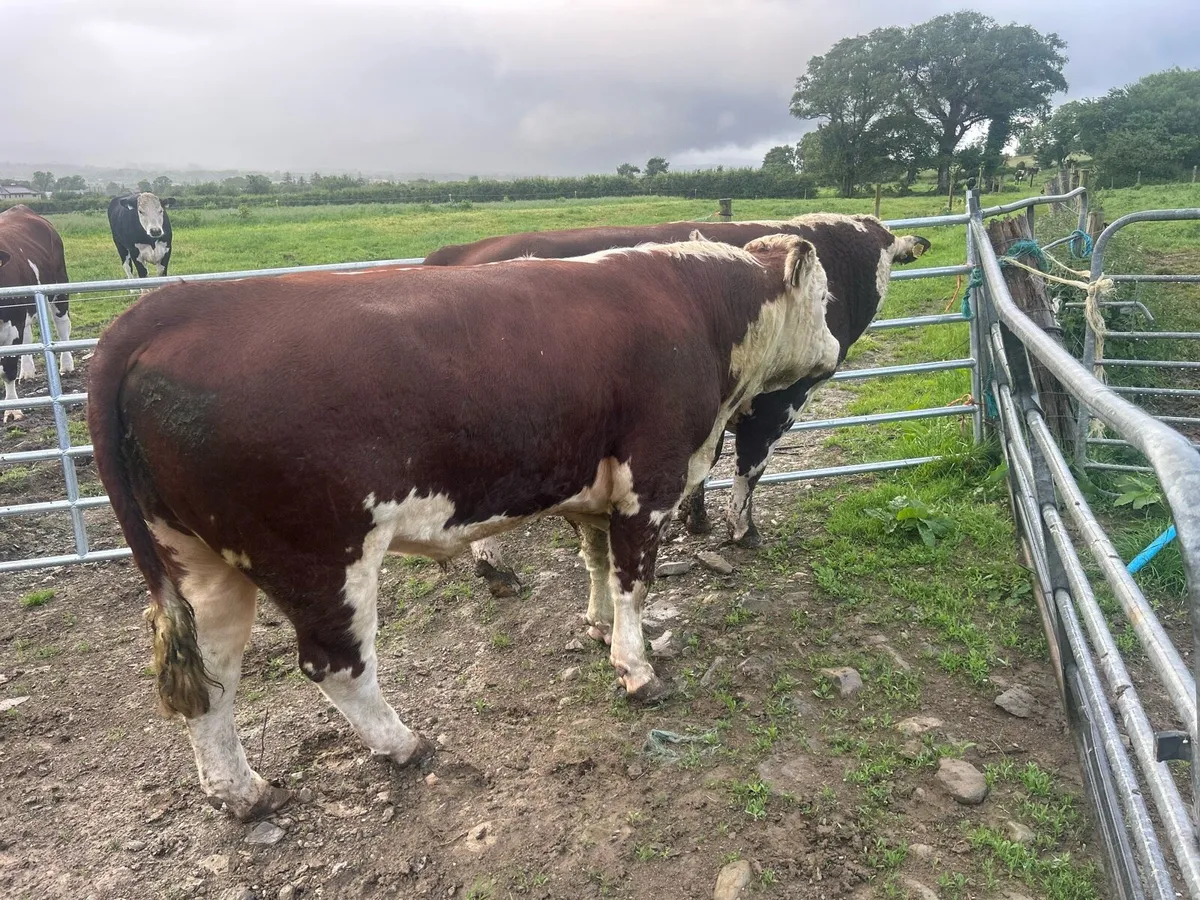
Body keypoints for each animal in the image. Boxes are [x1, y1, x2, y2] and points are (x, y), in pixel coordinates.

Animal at [0, 205, 72, 423]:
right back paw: (27, 371)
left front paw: (12, 410)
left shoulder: (12, 327)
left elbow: (7, 369)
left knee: (62, 325)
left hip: (59, 287)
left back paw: (66, 366)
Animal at [86, 235, 840, 820]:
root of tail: (169, 308)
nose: (836, 347)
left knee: (212, 674)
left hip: (196, 556)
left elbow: (595, 561)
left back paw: (244, 793)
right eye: (827, 300)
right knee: (335, 664)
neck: (697, 309)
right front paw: (637, 667)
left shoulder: (591, 488)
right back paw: (403, 744)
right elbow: (634, 582)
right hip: (320, 551)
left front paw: (595, 628)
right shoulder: (648, 482)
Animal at [426, 214, 930, 591]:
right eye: (825, 295)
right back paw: (496, 569)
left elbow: (708, 468)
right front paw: (742, 531)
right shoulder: (774, 406)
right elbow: (750, 470)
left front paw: (697, 519)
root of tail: (453, 253)